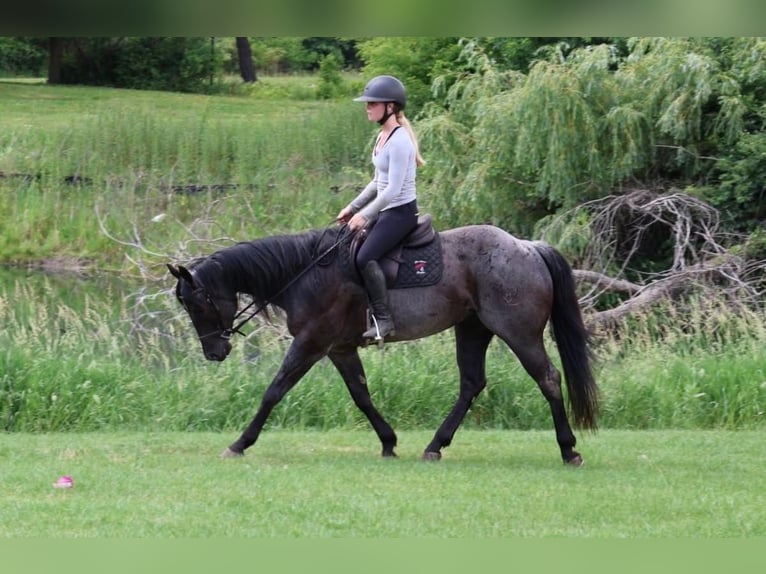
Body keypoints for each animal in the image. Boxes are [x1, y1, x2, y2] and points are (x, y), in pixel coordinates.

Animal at [167, 221, 599, 466]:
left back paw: (568, 449)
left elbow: (274, 391)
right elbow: (361, 395)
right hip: (473, 329)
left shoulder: (311, 343)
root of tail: (527, 247)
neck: (305, 272)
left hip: (518, 332)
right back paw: (435, 445)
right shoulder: (339, 348)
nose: (214, 353)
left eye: (198, 304)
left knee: (547, 378)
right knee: (472, 384)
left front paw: (240, 443)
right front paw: (389, 442)